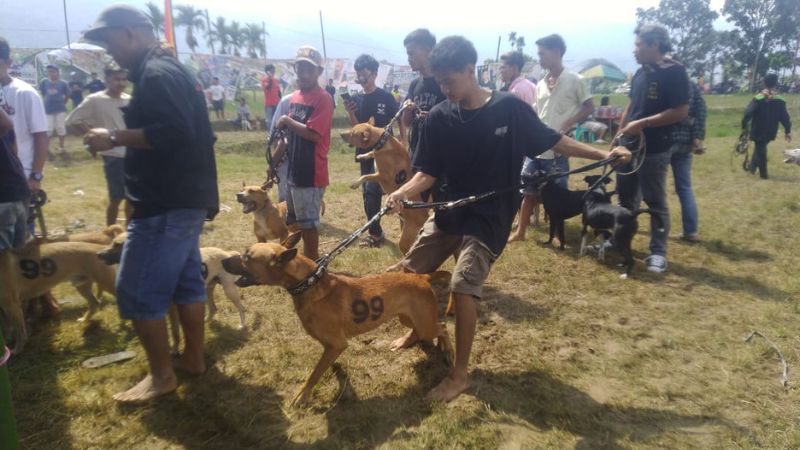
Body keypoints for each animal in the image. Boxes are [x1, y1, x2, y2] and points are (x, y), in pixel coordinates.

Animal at [222, 242, 454, 406]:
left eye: (247, 256)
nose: (223, 261)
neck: (309, 284)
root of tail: (421, 277)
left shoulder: (336, 344)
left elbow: (314, 374)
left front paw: (302, 395)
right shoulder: (331, 346)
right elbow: (326, 364)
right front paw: (334, 370)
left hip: (424, 323)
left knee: (442, 327)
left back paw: (449, 351)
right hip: (408, 317)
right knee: (424, 328)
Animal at [340, 118, 428, 254]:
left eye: (353, 133)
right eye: (352, 128)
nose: (341, 134)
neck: (381, 141)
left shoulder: (381, 176)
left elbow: (365, 176)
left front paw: (355, 183)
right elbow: (371, 153)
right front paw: (362, 156)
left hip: (407, 236)